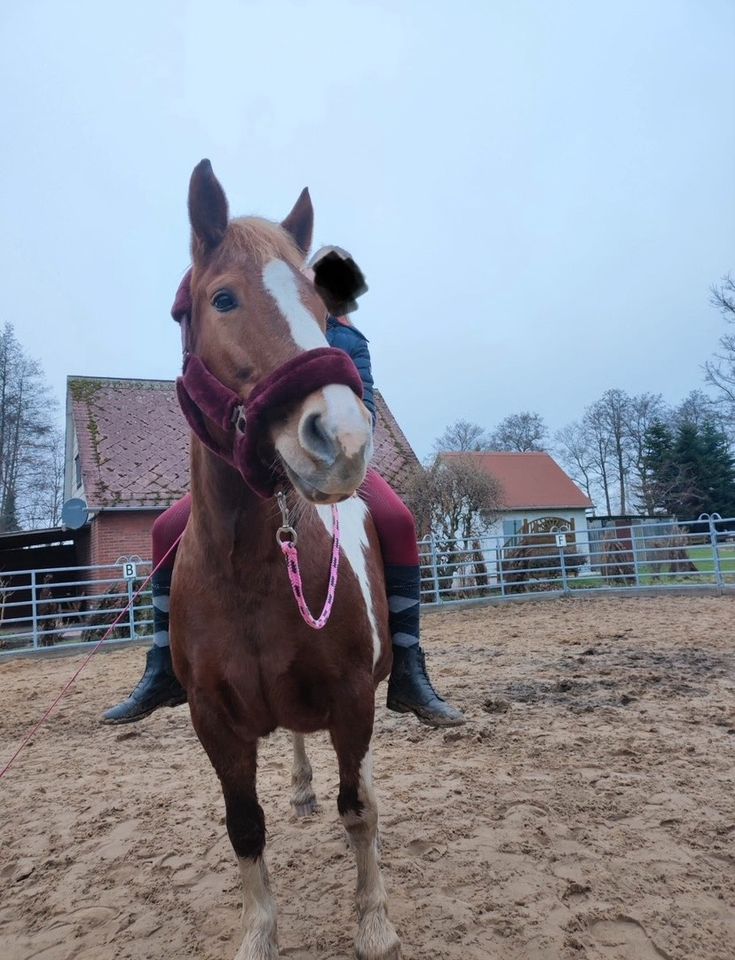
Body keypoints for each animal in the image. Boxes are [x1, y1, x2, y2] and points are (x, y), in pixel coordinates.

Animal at [170, 159, 402, 960]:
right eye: (223, 298)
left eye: (320, 307)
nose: (341, 438)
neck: (247, 566)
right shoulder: (213, 720)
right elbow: (245, 828)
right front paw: (257, 933)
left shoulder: (352, 696)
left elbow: (357, 808)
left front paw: (373, 922)